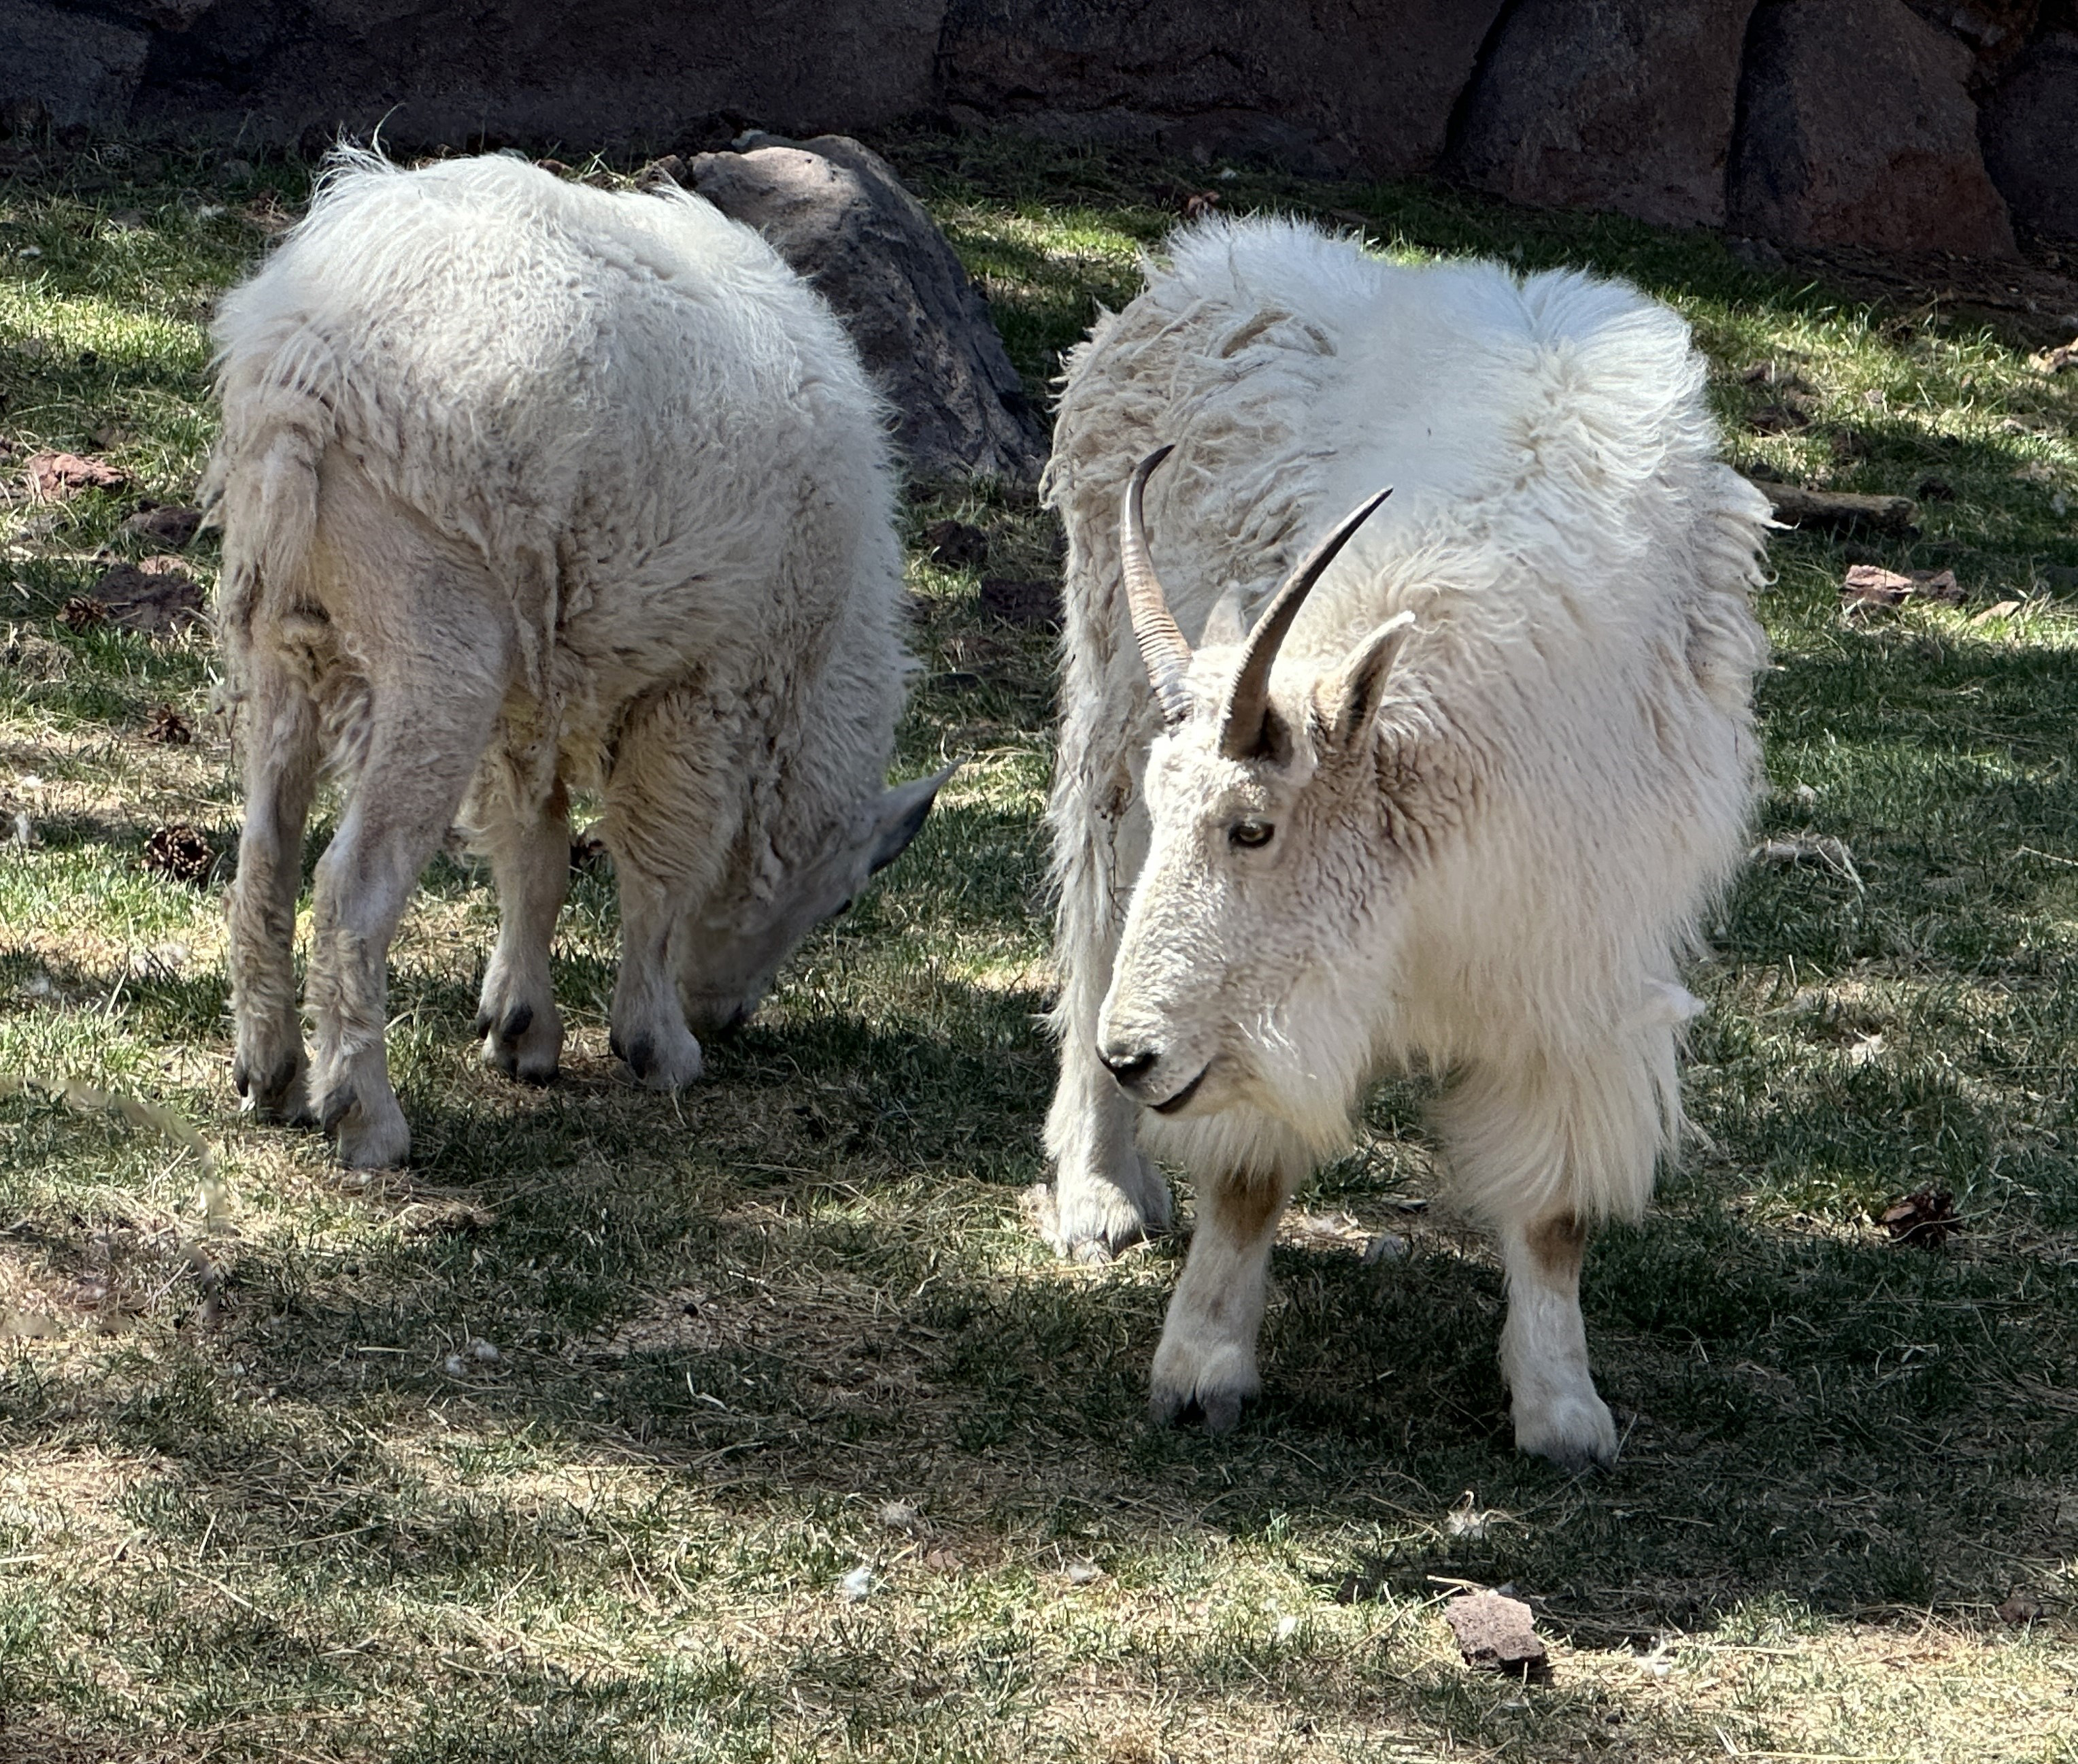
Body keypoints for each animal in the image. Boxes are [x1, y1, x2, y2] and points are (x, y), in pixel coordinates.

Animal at [209, 154, 943, 1171]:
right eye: (839, 904)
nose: (727, 1019)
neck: (811, 677)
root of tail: (299, 367)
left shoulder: (537, 685)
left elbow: (536, 852)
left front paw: (520, 1026)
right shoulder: (707, 684)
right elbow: (660, 864)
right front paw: (655, 1042)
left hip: (287, 629)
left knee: (265, 855)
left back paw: (269, 1072)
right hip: (437, 638)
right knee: (350, 883)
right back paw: (364, 1113)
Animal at [1039, 220, 1770, 1463]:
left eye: (1254, 826)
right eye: (1201, 815)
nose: (1135, 1055)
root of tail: (1191, 263)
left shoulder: (1576, 981)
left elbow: (1556, 1214)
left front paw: (1563, 1410)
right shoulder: (1260, 1015)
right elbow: (1246, 1181)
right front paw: (1202, 1369)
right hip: (1103, 709)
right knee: (1091, 920)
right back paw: (1099, 1189)